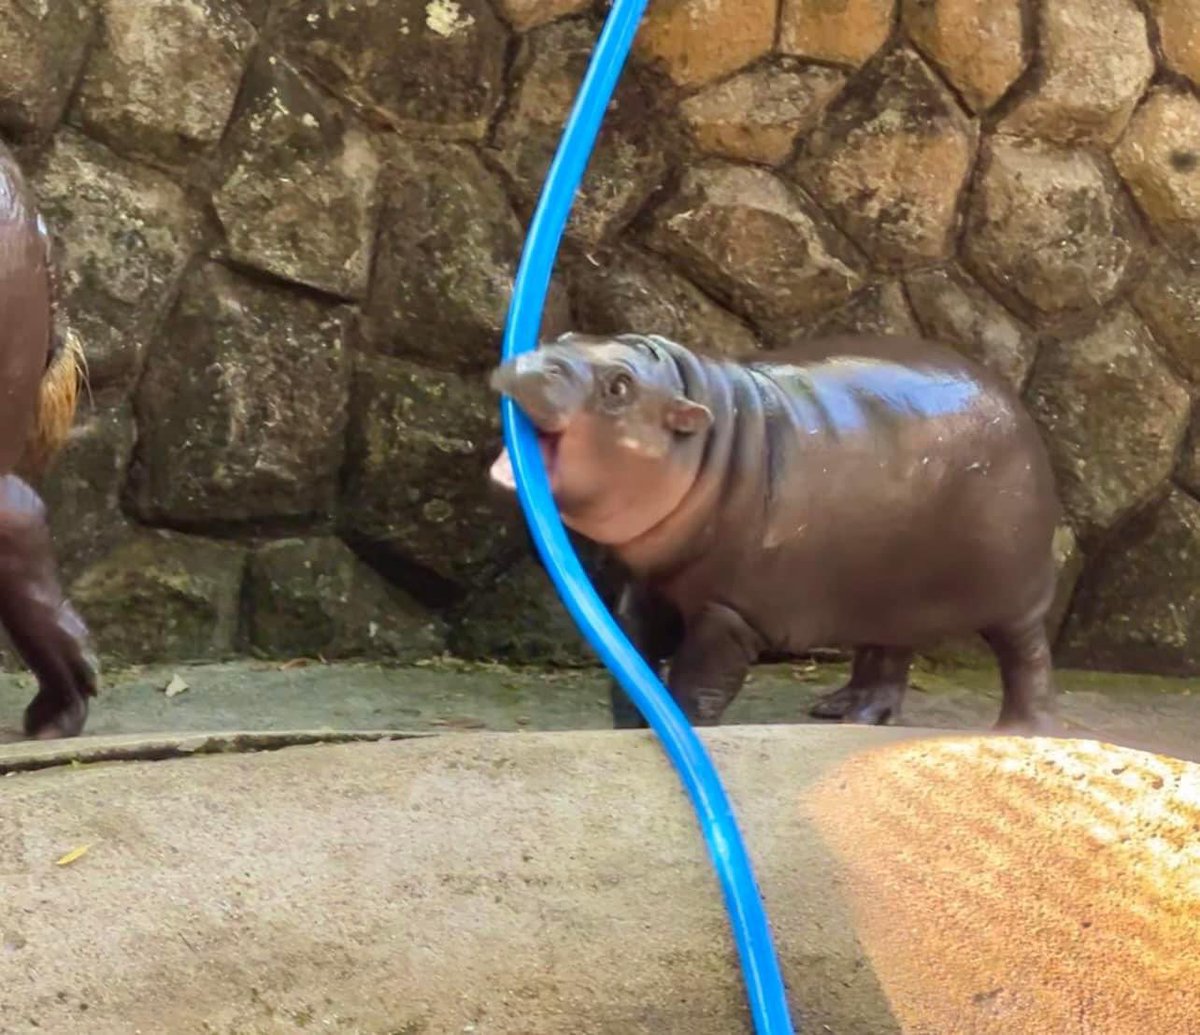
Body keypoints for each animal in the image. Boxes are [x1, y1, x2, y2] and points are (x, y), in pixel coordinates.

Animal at [488, 331, 1061, 732]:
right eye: (563, 337)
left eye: (619, 385)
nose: (530, 363)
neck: (710, 442)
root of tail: (1016, 405)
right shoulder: (649, 587)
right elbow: (634, 661)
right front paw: (633, 727)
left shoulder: (731, 612)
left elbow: (698, 683)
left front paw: (689, 728)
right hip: (889, 590)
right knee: (888, 652)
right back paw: (845, 711)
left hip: (1013, 592)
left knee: (1027, 655)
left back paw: (1019, 729)